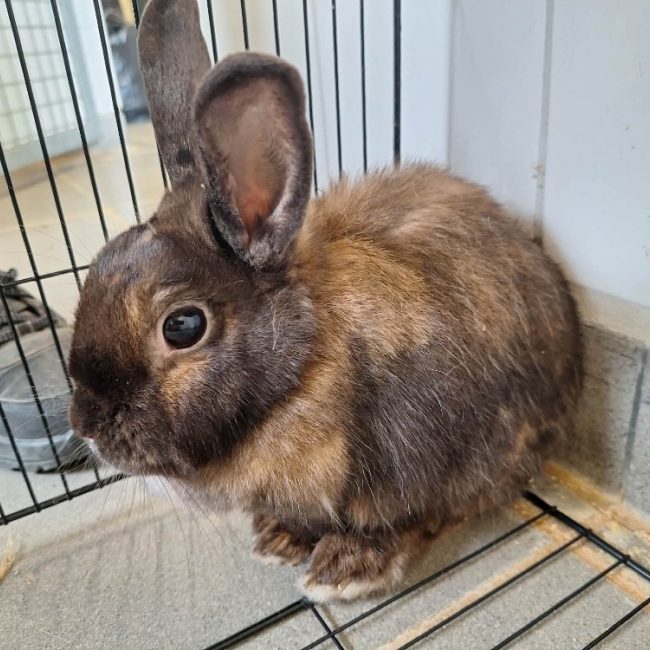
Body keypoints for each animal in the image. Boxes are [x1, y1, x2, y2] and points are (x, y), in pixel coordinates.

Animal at [68, 0, 583, 602]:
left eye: (183, 326)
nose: (86, 426)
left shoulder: (417, 469)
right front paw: (278, 539)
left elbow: (403, 521)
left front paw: (345, 569)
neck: (302, 374)